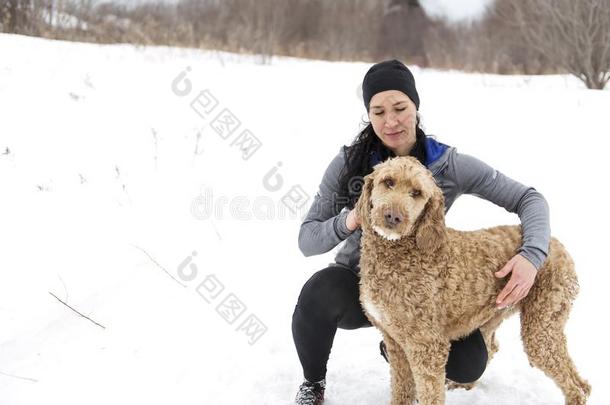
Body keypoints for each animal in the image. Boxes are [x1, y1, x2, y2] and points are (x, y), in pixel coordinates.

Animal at [356, 155, 588, 404]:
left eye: (416, 193)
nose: (393, 216)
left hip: (542, 325)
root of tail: (556, 244)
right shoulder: (394, 340)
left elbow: (429, 392)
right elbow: (402, 387)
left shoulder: (426, 345)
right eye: (388, 182)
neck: (403, 250)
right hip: (494, 316)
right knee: (496, 349)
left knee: (573, 384)